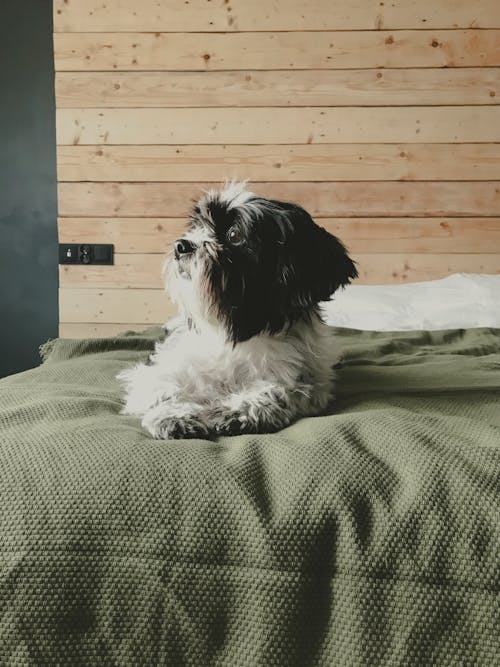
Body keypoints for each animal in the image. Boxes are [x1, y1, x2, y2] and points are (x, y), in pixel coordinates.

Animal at [119, 183, 358, 440]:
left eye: (234, 235)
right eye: (196, 227)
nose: (180, 245)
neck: (234, 330)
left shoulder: (305, 383)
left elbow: (277, 391)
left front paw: (238, 412)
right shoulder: (159, 371)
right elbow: (163, 387)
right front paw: (175, 415)